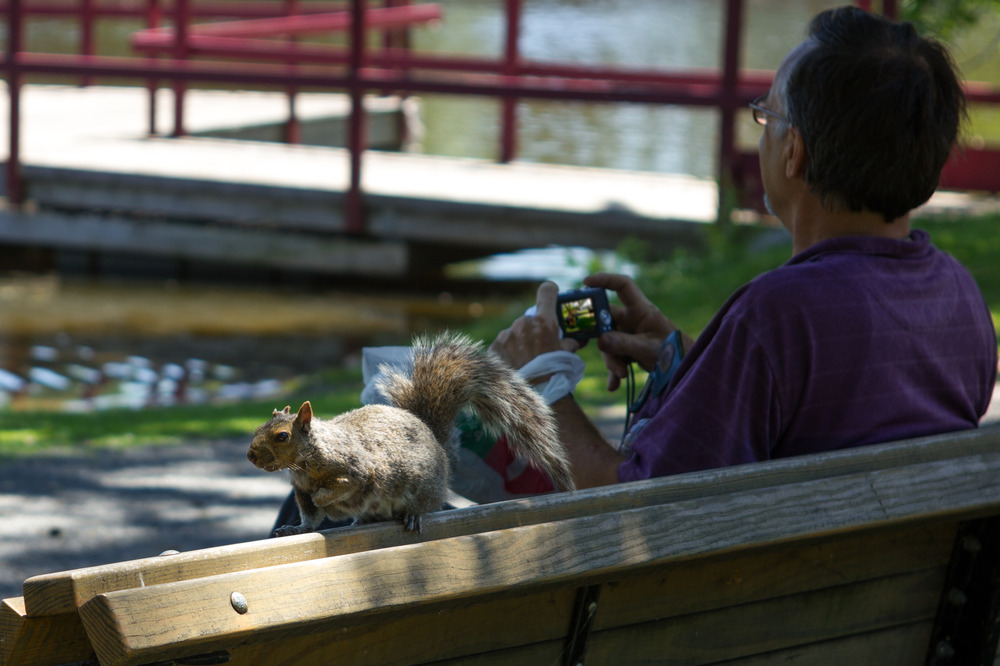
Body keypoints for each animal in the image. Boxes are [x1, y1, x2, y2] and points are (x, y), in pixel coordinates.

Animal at [246, 332, 576, 536]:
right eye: (261, 426)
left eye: (282, 436)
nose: (250, 455)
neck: (305, 462)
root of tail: (436, 442)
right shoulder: (300, 493)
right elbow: (311, 519)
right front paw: (297, 528)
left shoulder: (356, 469)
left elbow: (344, 485)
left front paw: (324, 495)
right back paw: (360, 520)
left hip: (423, 488)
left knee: (425, 507)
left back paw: (412, 515)